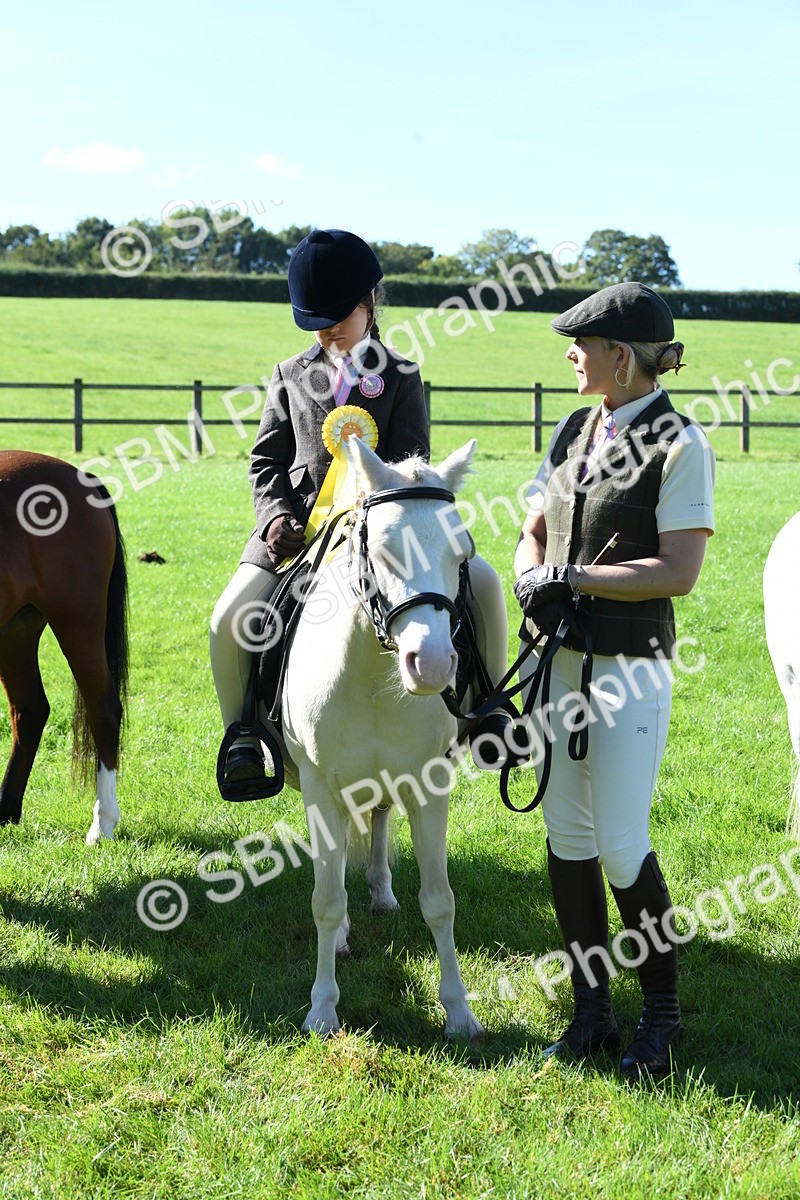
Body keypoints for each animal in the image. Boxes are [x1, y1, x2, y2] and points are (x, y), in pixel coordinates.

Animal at [0, 450, 129, 844]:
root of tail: (79, 476)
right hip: (16, 630)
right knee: (29, 711)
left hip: (78, 622)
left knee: (104, 711)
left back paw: (102, 823)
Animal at [275, 435, 484, 1040]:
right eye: (386, 551)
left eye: (461, 555)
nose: (432, 664)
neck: (371, 675)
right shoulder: (321, 787)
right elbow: (325, 900)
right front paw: (322, 1009)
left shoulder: (429, 786)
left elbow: (440, 902)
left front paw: (458, 1011)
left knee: (378, 823)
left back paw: (382, 891)